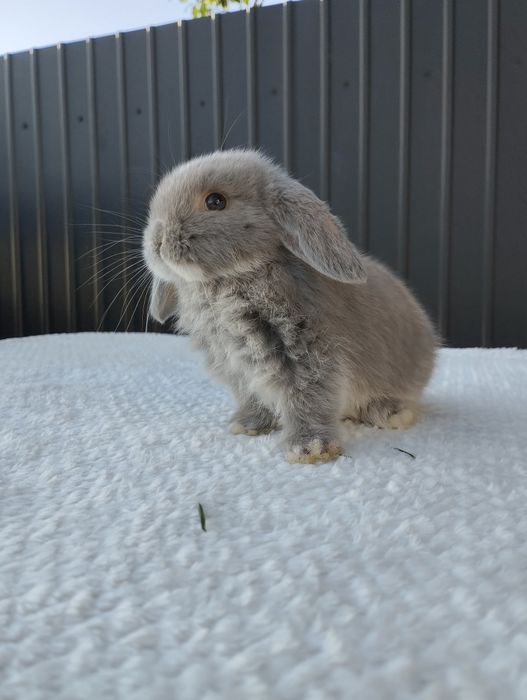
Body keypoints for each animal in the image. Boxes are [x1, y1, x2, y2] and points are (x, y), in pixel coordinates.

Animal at [143, 149, 437, 464]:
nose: (157, 239)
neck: (231, 279)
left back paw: (391, 413)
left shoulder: (309, 357)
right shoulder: (237, 367)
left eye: (215, 201)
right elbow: (253, 397)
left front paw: (311, 449)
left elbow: (308, 401)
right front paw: (248, 425)